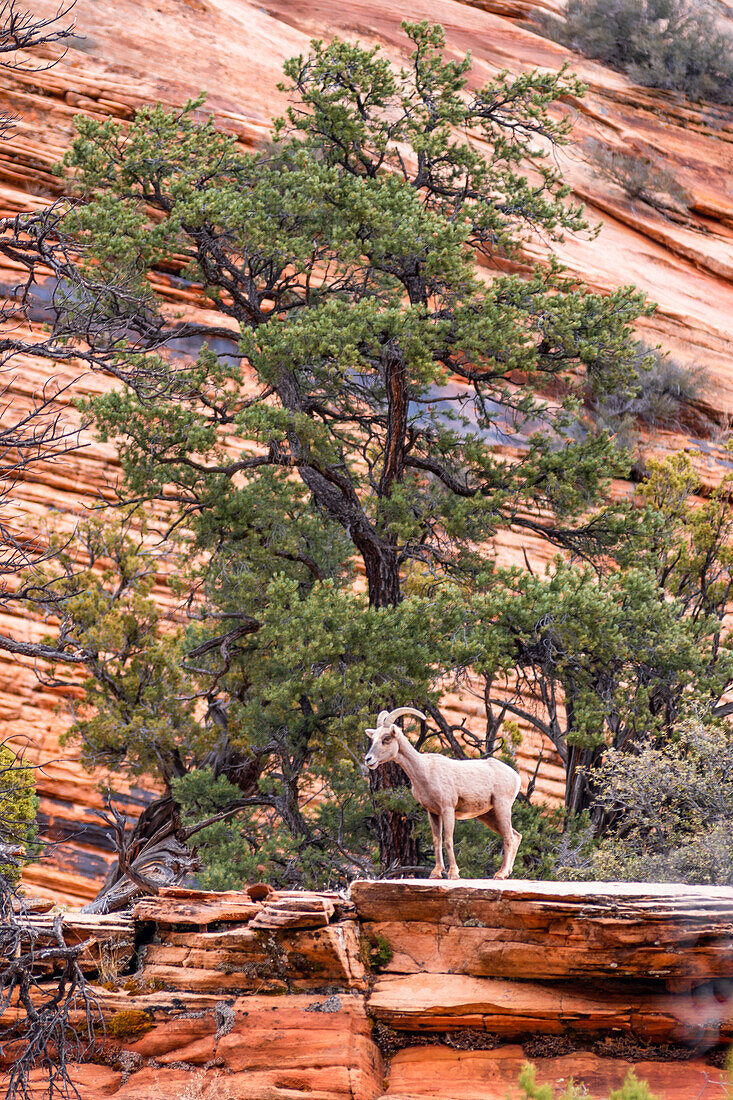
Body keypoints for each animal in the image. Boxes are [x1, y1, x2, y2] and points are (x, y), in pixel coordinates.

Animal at [363, 708, 519, 880]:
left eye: (386, 738)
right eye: (373, 739)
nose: (368, 759)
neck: (425, 771)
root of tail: (515, 776)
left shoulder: (447, 809)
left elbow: (448, 840)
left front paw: (453, 874)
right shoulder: (433, 813)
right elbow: (437, 840)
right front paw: (436, 873)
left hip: (501, 807)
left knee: (509, 837)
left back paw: (500, 874)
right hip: (487, 815)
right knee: (516, 836)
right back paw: (507, 873)